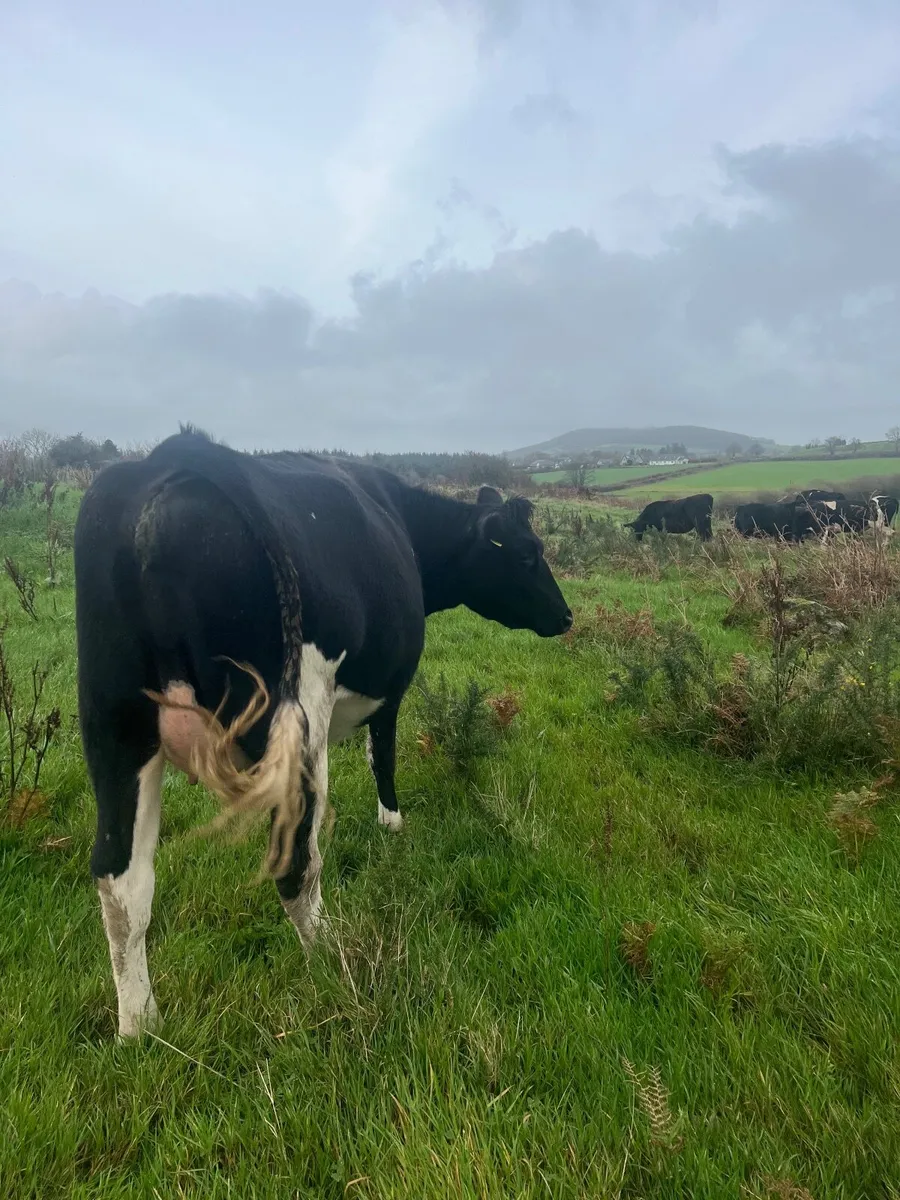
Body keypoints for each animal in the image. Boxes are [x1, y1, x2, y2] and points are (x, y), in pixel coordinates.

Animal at [74, 430, 572, 1037]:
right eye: (527, 554)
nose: (566, 616)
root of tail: (169, 463)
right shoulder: (389, 691)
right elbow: (383, 754)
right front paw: (392, 824)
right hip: (295, 724)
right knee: (296, 865)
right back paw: (338, 963)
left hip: (114, 725)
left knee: (120, 879)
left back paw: (140, 1027)